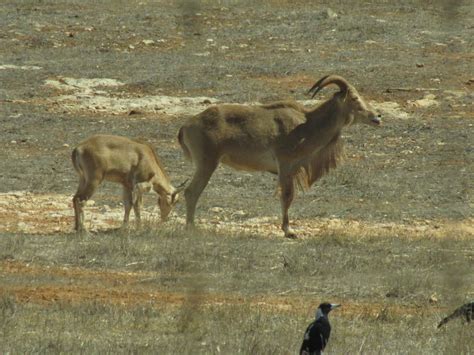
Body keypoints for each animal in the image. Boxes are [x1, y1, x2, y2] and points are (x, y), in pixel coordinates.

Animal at [178, 75, 382, 238]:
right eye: (354, 98)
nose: (377, 116)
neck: (307, 125)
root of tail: (187, 125)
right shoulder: (285, 165)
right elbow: (287, 195)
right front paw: (288, 231)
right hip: (207, 163)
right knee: (191, 192)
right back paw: (191, 227)